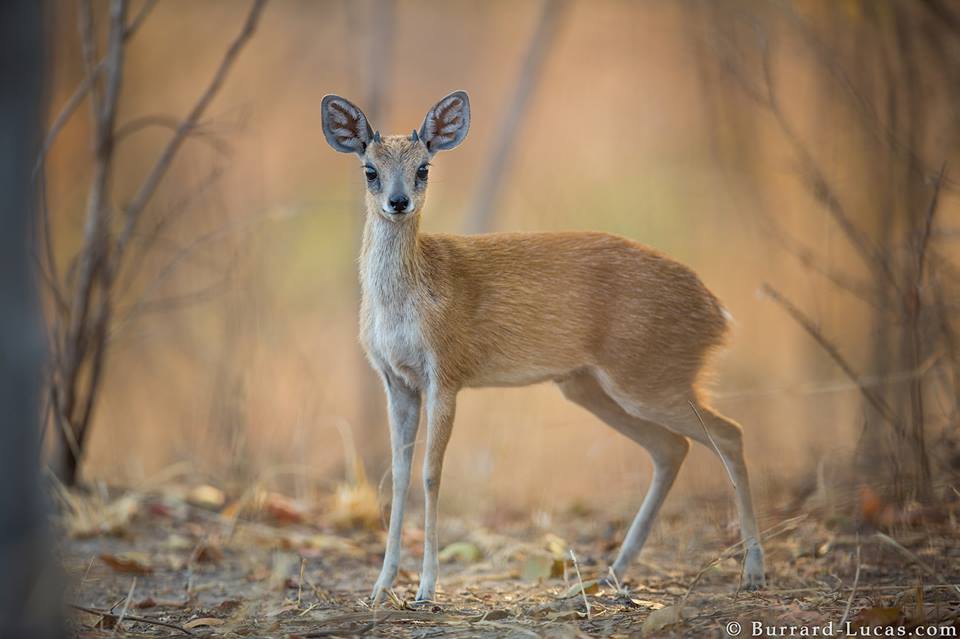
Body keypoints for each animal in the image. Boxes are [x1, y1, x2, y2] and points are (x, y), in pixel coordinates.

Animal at [322, 91, 764, 604]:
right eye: (369, 169)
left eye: (424, 168)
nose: (398, 202)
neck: (407, 299)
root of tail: (718, 314)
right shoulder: (396, 380)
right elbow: (398, 474)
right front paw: (380, 587)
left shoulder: (447, 372)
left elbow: (432, 474)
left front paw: (427, 588)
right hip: (590, 385)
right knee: (672, 447)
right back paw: (614, 571)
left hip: (648, 376)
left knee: (729, 434)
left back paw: (754, 570)